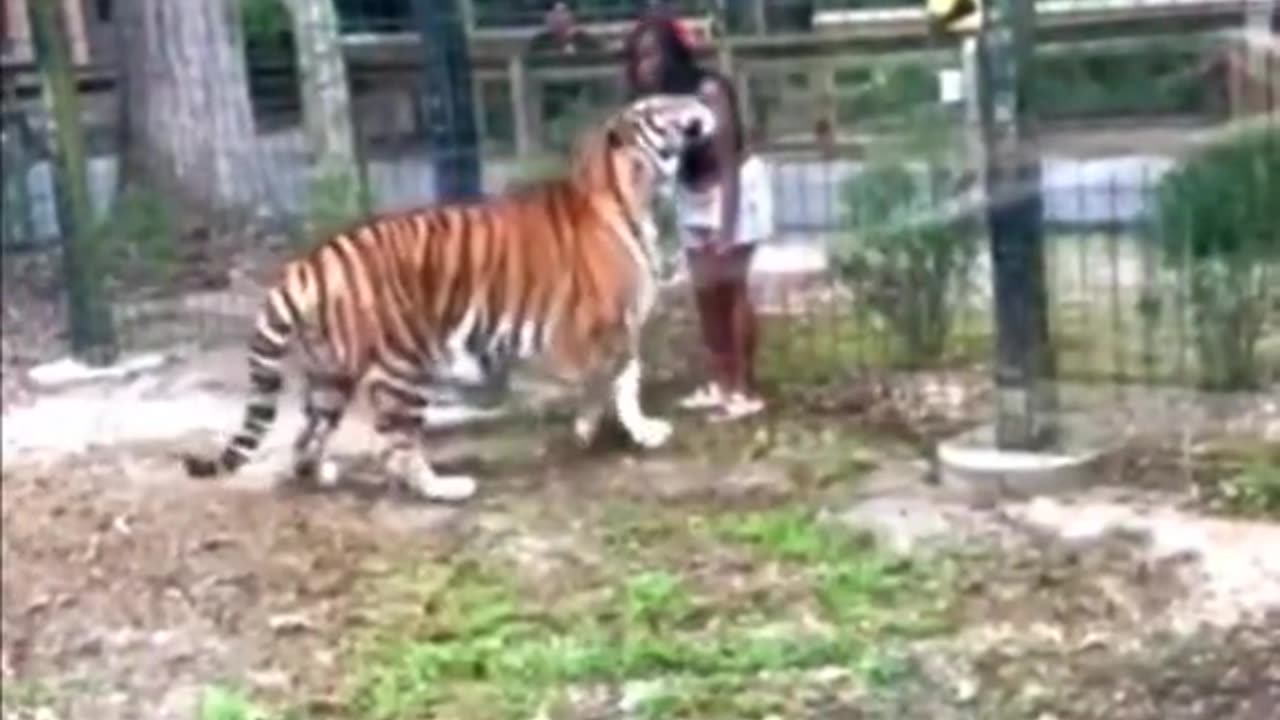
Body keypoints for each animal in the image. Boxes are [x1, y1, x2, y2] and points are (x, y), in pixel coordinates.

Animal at [181, 94, 721, 499]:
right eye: (660, 106)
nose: (701, 99)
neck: (633, 189)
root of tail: (309, 263)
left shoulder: (610, 329)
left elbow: (613, 380)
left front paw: (613, 430)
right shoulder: (603, 325)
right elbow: (618, 379)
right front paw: (618, 430)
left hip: (330, 374)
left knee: (307, 434)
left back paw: (319, 473)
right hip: (403, 367)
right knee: (394, 445)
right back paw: (445, 487)